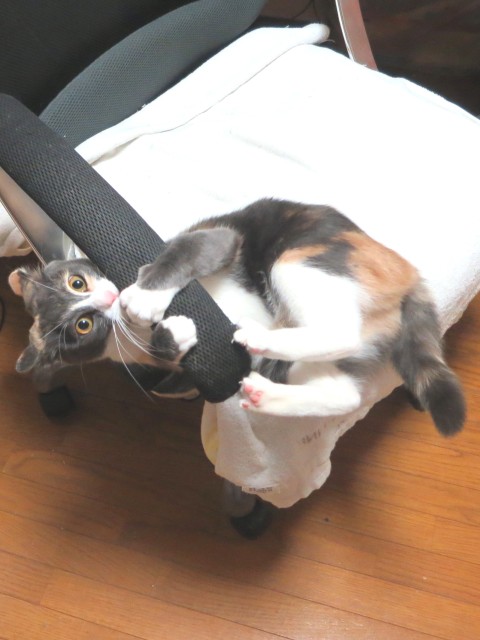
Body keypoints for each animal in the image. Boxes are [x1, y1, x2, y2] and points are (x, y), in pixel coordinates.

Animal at [9, 198, 465, 436]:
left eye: (76, 282)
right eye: (82, 327)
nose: (107, 298)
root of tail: (409, 277)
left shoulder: (217, 238)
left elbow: (183, 253)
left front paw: (143, 296)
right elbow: (169, 373)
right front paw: (168, 339)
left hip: (294, 260)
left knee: (341, 332)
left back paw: (258, 337)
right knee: (344, 392)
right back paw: (268, 391)